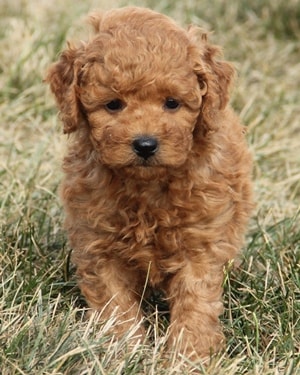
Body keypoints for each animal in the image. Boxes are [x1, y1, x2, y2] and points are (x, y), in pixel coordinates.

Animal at [47, 6, 253, 362]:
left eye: (172, 103)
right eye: (113, 104)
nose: (145, 144)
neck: (147, 188)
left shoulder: (199, 244)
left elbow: (195, 303)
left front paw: (189, 356)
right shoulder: (98, 245)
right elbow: (116, 306)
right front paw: (123, 351)